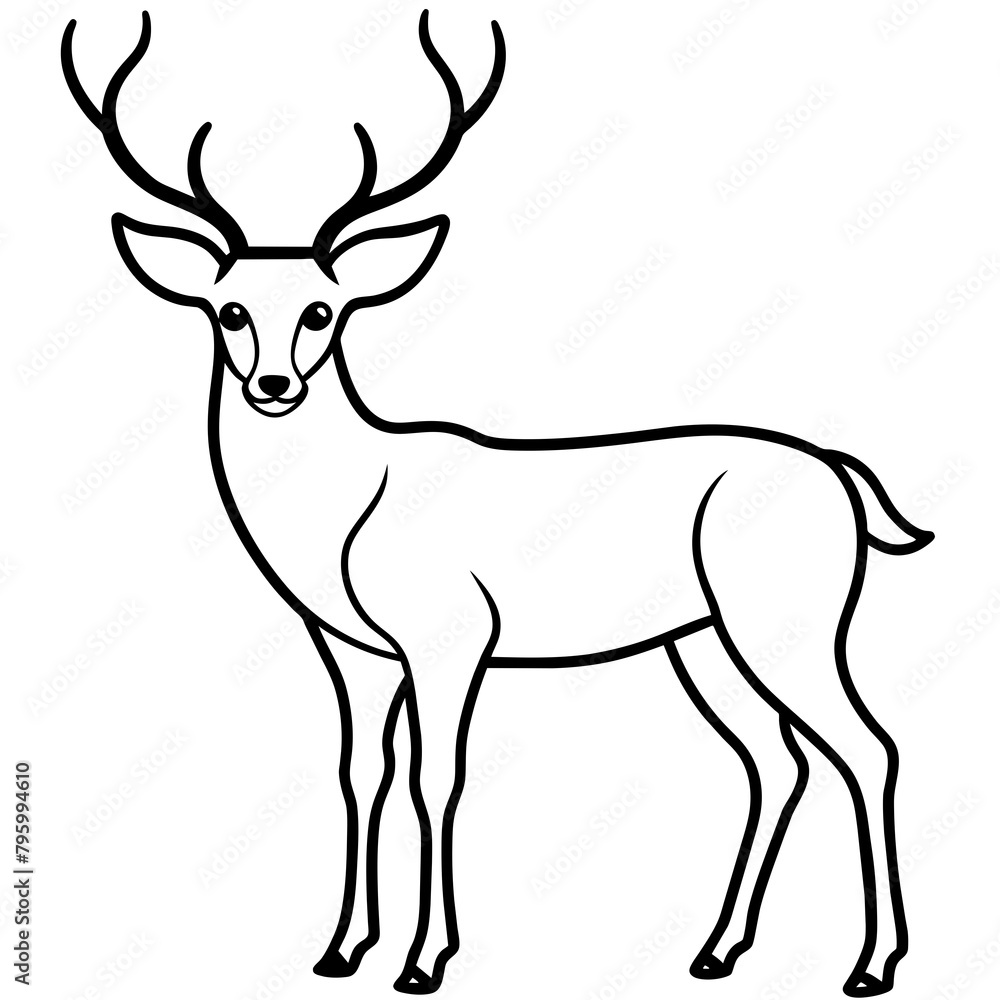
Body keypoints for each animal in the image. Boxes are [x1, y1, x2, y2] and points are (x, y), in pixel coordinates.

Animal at [63, 10, 932, 997]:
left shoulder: (451, 637)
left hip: (791, 615)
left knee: (869, 746)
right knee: (776, 761)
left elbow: (436, 778)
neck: (349, 514)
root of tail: (840, 472)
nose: (274, 385)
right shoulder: (352, 649)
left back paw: (872, 965)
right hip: (703, 639)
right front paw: (339, 949)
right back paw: (716, 951)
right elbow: (361, 774)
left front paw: (423, 961)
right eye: (228, 310)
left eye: (325, 310)